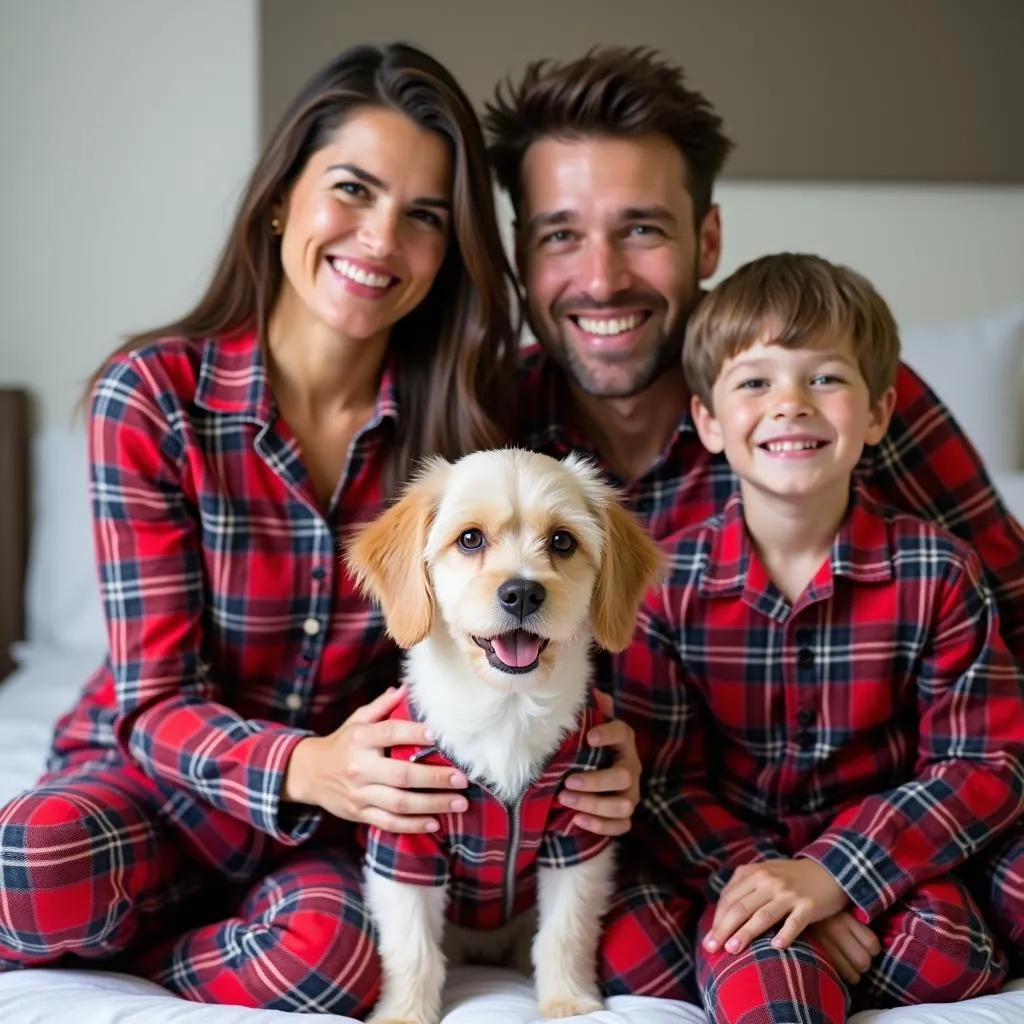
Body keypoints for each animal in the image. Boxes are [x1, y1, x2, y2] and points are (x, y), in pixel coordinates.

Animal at [346, 448, 663, 1024]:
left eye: (562, 541)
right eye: (470, 539)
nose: (521, 592)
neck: (505, 711)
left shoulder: (578, 834)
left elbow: (566, 931)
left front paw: (569, 1002)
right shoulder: (406, 836)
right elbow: (411, 945)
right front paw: (405, 1012)